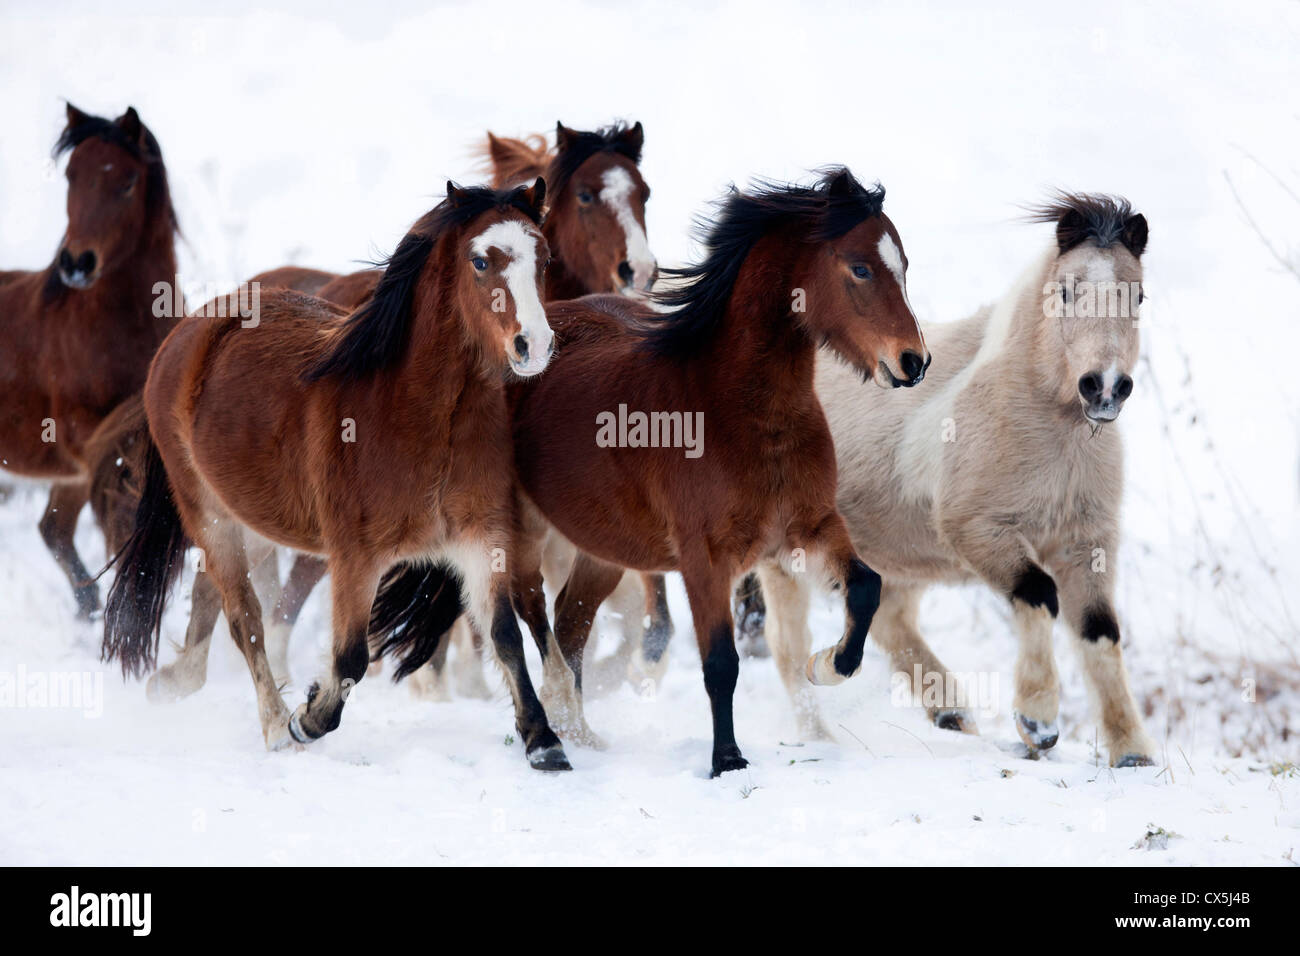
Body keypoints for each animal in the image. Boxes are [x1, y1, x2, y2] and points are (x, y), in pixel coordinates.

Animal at [98, 180, 572, 770]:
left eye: (544, 258)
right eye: (481, 261)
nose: (535, 345)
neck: (419, 418)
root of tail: (188, 333)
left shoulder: (480, 541)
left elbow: (505, 635)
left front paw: (544, 741)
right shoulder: (355, 557)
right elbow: (349, 658)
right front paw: (306, 718)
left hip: (255, 519)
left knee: (211, 594)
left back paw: (174, 680)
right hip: (207, 513)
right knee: (245, 617)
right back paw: (274, 726)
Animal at [377, 166, 935, 780]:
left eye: (902, 265)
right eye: (859, 268)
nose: (912, 361)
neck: (741, 412)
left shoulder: (810, 527)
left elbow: (865, 588)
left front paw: (827, 663)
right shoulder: (704, 559)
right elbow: (720, 662)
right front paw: (727, 761)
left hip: (602, 550)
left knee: (570, 624)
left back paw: (582, 734)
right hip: (521, 534)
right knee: (534, 617)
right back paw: (554, 728)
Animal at [754, 191, 1159, 764]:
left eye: (1138, 295)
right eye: (1065, 290)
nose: (1104, 387)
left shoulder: (1086, 543)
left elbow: (1100, 634)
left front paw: (1132, 752)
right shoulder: (977, 532)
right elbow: (1038, 594)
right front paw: (1038, 721)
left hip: (890, 554)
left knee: (888, 618)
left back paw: (951, 713)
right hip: (785, 555)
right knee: (788, 647)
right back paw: (822, 737)